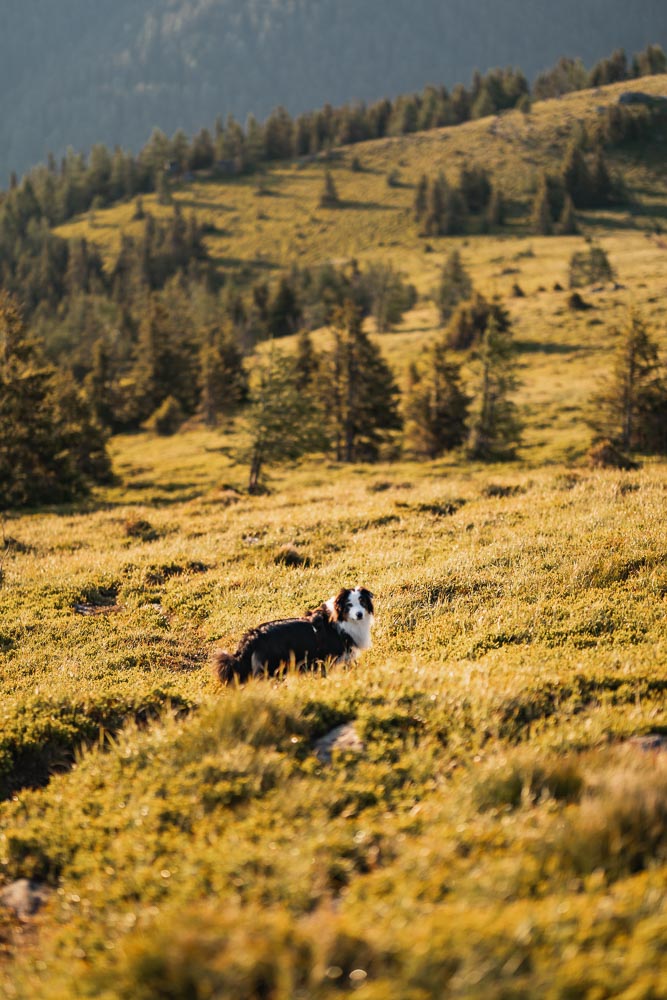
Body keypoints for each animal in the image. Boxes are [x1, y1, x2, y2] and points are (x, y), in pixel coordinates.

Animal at [213, 588, 374, 684]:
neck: (340, 620)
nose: (359, 614)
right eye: (349, 605)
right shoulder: (334, 657)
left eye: (362, 602)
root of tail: (252, 636)